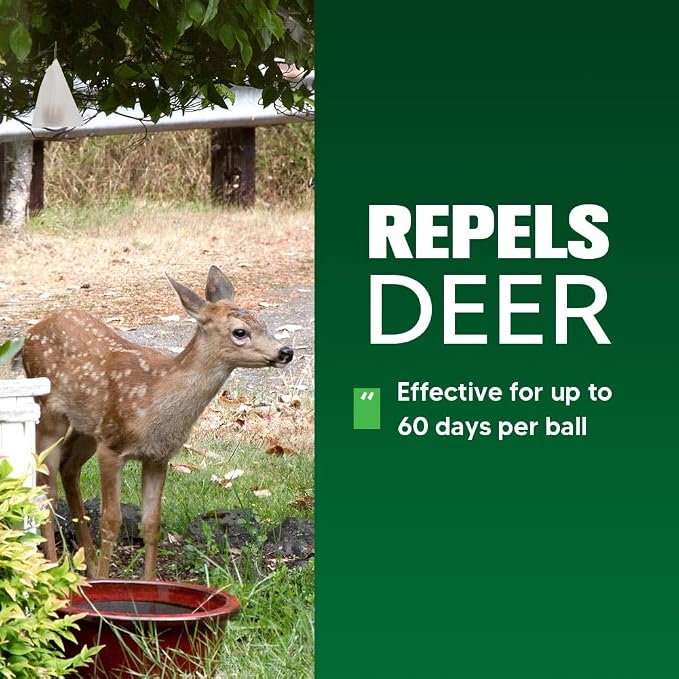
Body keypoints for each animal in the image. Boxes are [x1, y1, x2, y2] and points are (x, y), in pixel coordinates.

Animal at [22, 266, 293, 579]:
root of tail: (30, 333)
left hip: (87, 426)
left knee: (68, 467)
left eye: (263, 323)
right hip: (49, 413)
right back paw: (54, 568)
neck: (155, 402)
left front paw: (148, 582)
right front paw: (105, 581)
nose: (286, 351)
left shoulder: (158, 457)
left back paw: (86, 567)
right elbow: (111, 521)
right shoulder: (112, 447)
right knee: (46, 487)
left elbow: (152, 524)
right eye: (240, 331)